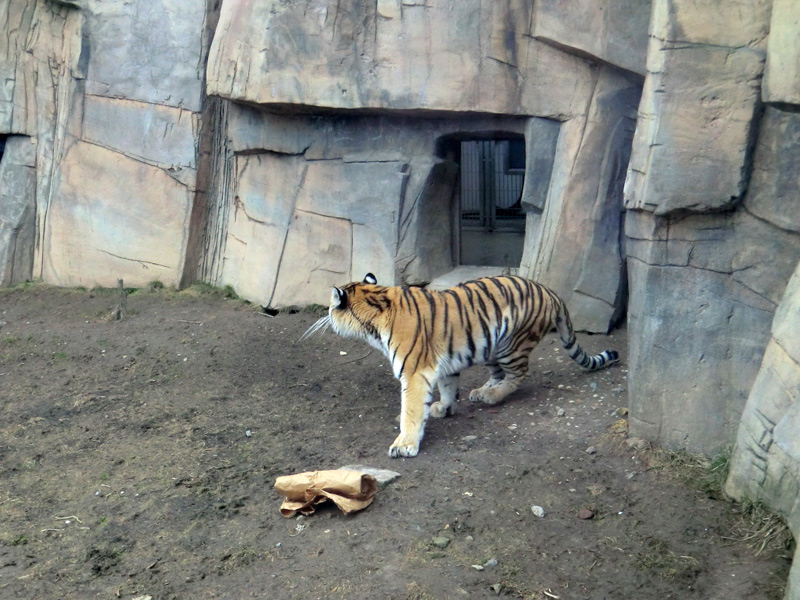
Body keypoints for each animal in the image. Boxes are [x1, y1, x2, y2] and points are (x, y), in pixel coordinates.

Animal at [300, 274, 620, 458]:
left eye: (331, 307)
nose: (326, 314)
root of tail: (551, 292)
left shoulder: (414, 372)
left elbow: (411, 409)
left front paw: (405, 444)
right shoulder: (440, 364)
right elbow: (447, 386)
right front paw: (444, 407)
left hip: (511, 344)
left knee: (518, 375)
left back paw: (492, 395)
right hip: (490, 347)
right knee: (499, 374)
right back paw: (482, 391)